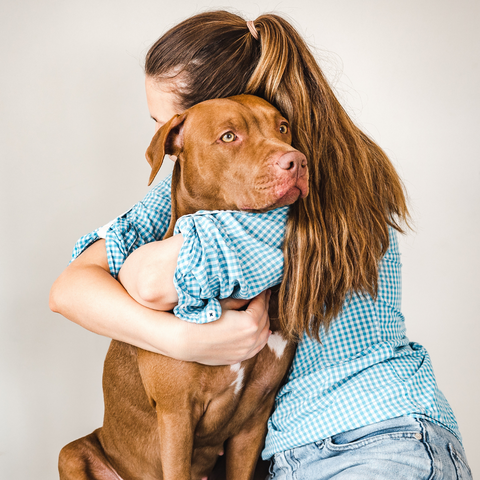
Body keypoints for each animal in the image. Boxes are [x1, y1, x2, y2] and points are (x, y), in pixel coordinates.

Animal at [58, 94, 310, 480]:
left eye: (282, 127)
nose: (295, 160)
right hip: (71, 454)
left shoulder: (253, 421)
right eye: (228, 136)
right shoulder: (176, 417)